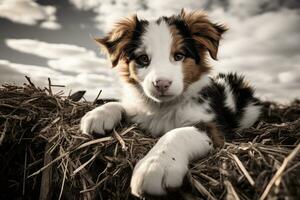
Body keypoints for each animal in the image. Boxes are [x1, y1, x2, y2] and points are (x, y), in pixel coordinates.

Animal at [79, 9, 260, 197]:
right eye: (143, 58)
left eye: (179, 56)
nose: (162, 84)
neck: (163, 107)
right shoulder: (137, 109)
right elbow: (121, 105)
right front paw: (98, 114)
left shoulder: (214, 128)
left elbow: (176, 133)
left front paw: (156, 165)